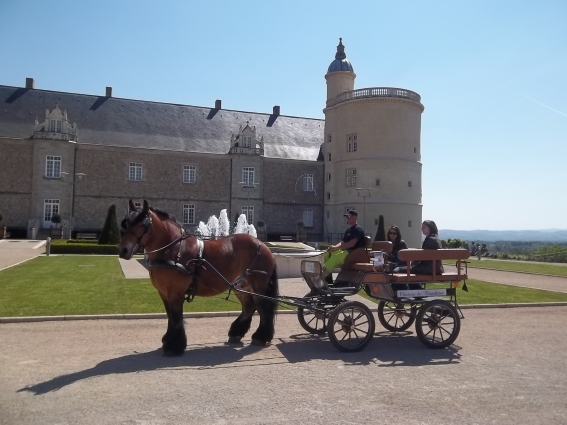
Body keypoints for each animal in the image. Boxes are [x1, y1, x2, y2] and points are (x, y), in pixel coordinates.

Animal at [118, 199, 280, 354]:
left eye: (142, 224)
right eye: (126, 223)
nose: (123, 250)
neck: (173, 249)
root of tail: (262, 245)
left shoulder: (175, 292)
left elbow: (176, 317)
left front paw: (174, 346)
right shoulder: (164, 293)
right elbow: (170, 316)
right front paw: (168, 340)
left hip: (258, 285)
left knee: (263, 307)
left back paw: (261, 336)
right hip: (241, 285)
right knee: (249, 306)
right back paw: (237, 333)